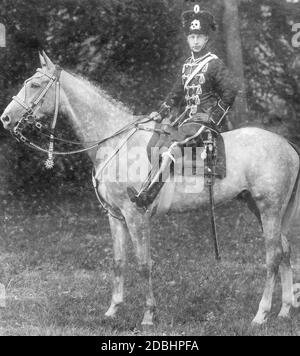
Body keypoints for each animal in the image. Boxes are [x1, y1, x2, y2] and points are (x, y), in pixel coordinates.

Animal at [0, 51, 300, 326]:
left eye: (35, 84)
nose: (5, 118)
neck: (115, 141)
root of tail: (287, 145)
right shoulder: (115, 216)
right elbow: (118, 261)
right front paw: (113, 309)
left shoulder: (135, 215)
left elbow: (144, 264)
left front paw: (148, 315)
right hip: (257, 207)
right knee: (284, 250)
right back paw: (285, 309)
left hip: (269, 208)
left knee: (273, 256)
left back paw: (261, 314)